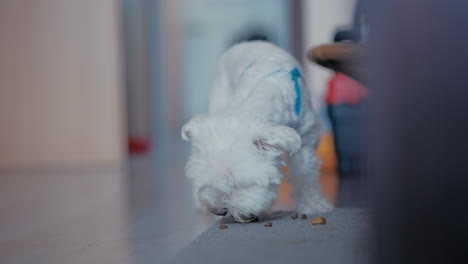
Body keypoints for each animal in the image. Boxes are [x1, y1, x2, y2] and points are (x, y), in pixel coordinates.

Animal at [182, 40, 332, 223]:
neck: (270, 87)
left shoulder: (306, 139)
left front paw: (314, 205)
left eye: (237, 184)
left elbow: (306, 175)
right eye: (209, 181)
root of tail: (248, 42)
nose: (217, 210)